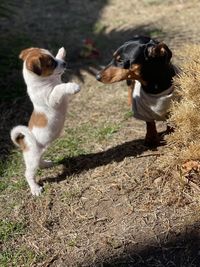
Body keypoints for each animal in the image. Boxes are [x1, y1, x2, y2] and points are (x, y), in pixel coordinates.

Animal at [10, 46, 80, 197]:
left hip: (39, 153)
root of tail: (23, 140)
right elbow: (59, 88)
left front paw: (61, 52)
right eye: (51, 63)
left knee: (40, 162)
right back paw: (35, 189)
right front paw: (72, 87)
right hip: (32, 159)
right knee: (28, 174)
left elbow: (59, 82)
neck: (44, 82)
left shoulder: (57, 79)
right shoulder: (52, 100)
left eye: (53, 57)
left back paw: (47, 164)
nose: (64, 63)